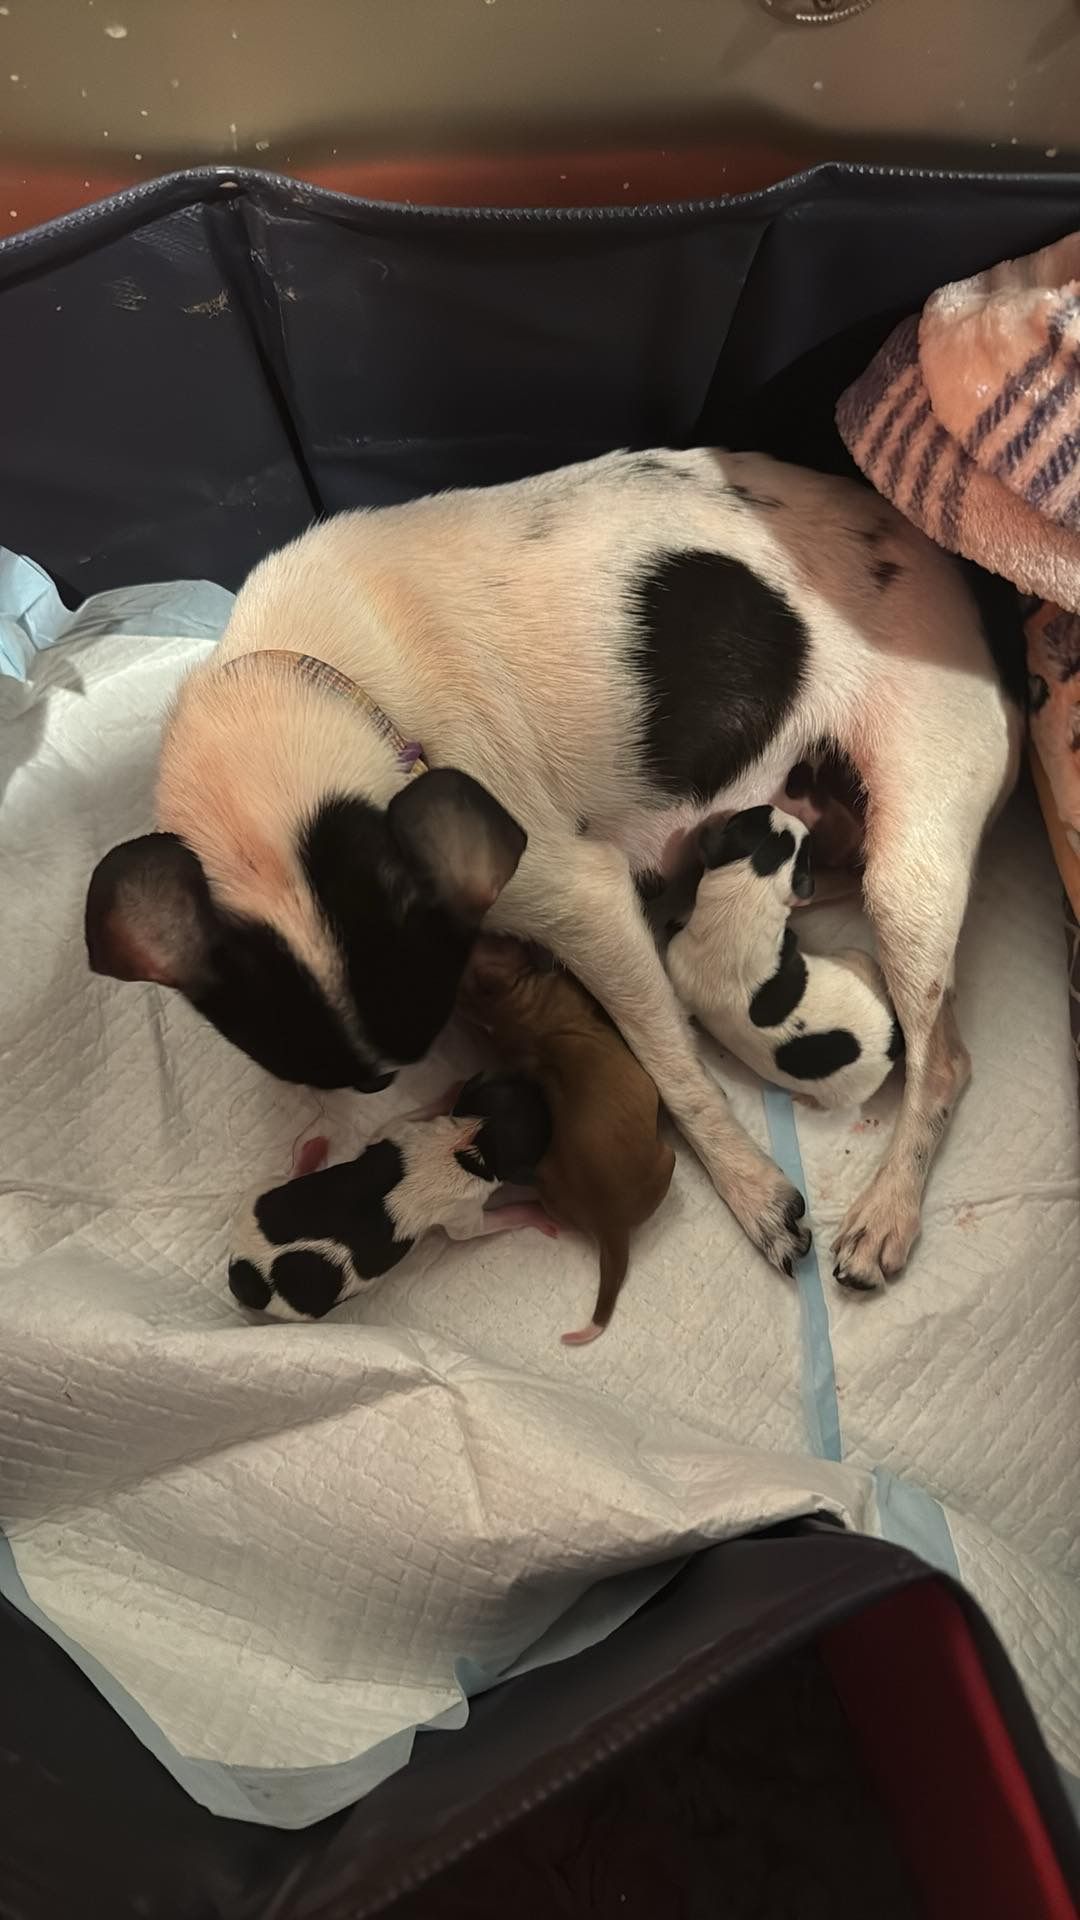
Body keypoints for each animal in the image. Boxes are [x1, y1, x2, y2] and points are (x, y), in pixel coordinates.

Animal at [233, 1075, 553, 1328]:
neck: (471, 1146)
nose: (538, 1082)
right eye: (544, 1118)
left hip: (258, 1197)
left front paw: (452, 1093)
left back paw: (310, 1150)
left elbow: (407, 1117)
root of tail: (248, 1275)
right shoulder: (464, 1213)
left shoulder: (402, 1129)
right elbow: (480, 1227)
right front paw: (534, 1214)